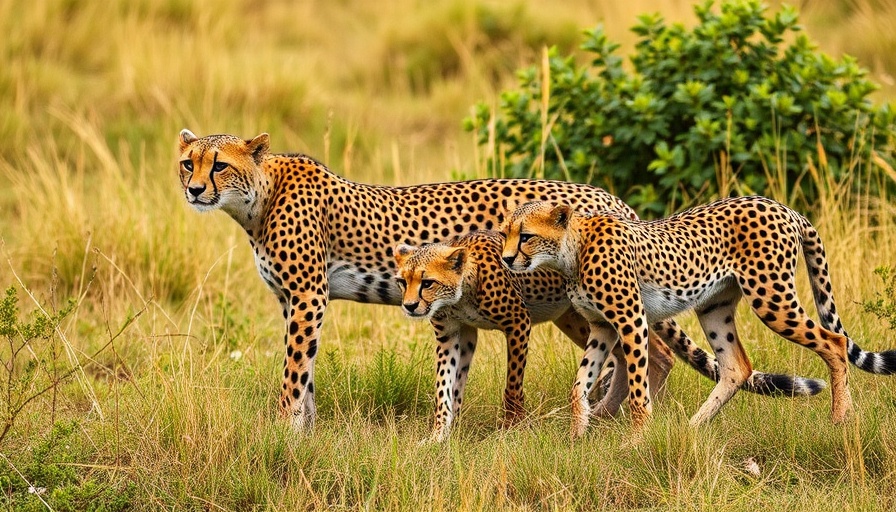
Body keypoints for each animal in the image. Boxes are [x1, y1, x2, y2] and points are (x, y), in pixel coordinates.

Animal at [176, 129, 824, 431]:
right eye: (189, 162)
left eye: (221, 164)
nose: (194, 189)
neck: (257, 196)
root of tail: (604, 195)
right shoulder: (296, 300)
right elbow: (305, 375)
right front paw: (305, 431)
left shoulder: (308, 296)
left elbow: (294, 373)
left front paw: (286, 432)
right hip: (578, 308)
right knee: (646, 352)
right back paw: (603, 418)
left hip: (581, 303)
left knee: (651, 350)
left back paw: (610, 419)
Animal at [500, 196, 896, 437]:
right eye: (504, 233)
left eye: (527, 236)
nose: (505, 259)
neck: (572, 251)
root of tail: (780, 206)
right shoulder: (601, 327)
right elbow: (579, 385)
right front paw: (576, 435)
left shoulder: (631, 320)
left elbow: (639, 388)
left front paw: (637, 440)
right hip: (714, 307)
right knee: (736, 367)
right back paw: (693, 428)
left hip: (771, 297)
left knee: (835, 341)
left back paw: (840, 419)